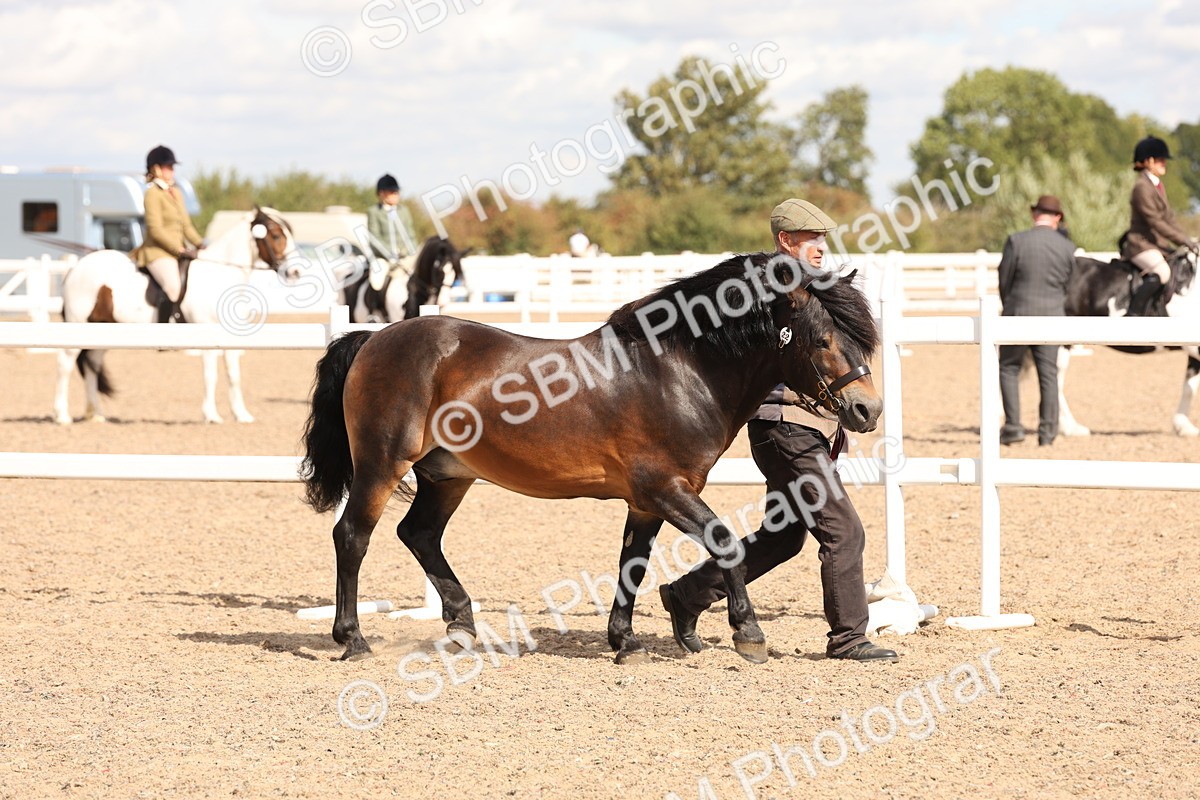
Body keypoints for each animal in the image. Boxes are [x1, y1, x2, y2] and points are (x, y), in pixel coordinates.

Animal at [54, 206, 301, 425]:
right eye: (277, 235)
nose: (295, 272)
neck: (220, 275)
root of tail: (76, 268)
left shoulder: (230, 338)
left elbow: (234, 375)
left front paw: (242, 415)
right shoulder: (207, 332)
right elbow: (210, 375)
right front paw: (211, 415)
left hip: (102, 330)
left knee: (91, 367)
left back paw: (96, 414)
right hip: (78, 326)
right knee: (65, 365)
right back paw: (62, 416)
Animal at [300, 251, 882, 664]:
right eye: (823, 339)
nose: (867, 409)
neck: (677, 370)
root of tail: (374, 339)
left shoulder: (647, 502)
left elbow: (633, 564)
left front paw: (625, 641)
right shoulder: (666, 488)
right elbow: (726, 544)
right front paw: (749, 633)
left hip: (449, 475)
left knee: (418, 534)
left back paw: (462, 625)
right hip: (382, 464)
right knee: (352, 536)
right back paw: (352, 638)